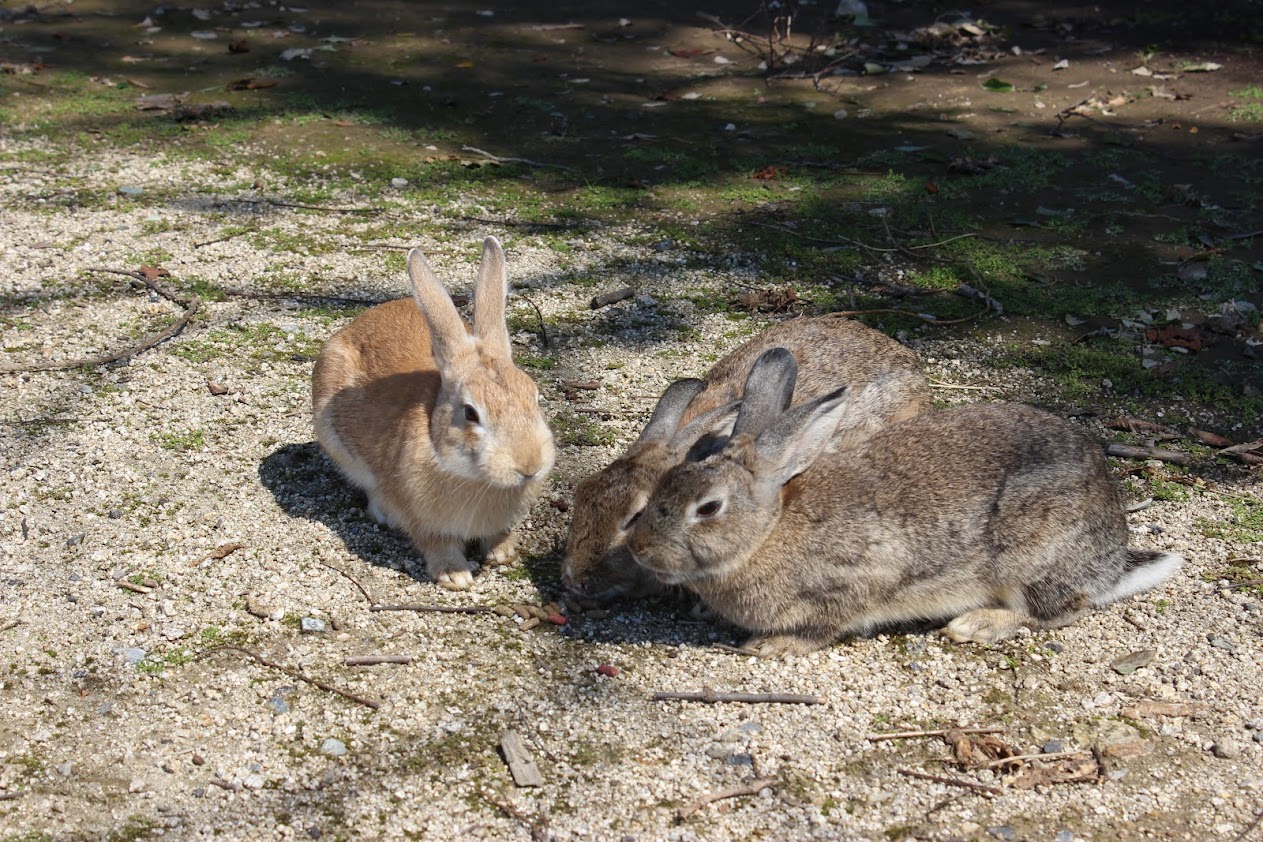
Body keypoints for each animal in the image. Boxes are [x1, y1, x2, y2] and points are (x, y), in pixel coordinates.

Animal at [310, 236, 553, 593]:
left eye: (535, 397)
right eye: (470, 413)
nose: (529, 466)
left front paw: (503, 553)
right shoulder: (422, 519)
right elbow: (437, 544)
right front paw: (455, 576)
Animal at [621, 348, 1182, 656]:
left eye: (708, 508)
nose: (638, 550)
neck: (767, 532)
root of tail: (1110, 558)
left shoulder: (858, 579)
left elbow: (825, 625)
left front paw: (771, 645)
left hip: (1035, 559)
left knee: (1058, 611)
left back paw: (976, 624)